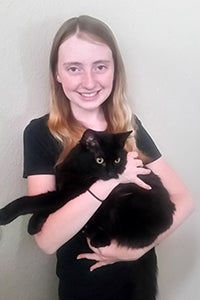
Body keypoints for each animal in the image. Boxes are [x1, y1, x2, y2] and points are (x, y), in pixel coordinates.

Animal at [0, 129, 175, 248]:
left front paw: (6, 214)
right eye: (100, 160)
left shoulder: (66, 194)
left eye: (117, 160)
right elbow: (44, 208)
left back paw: (96, 235)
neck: (78, 169)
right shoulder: (61, 193)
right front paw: (35, 223)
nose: (111, 172)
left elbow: (32, 202)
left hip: (123, 201)